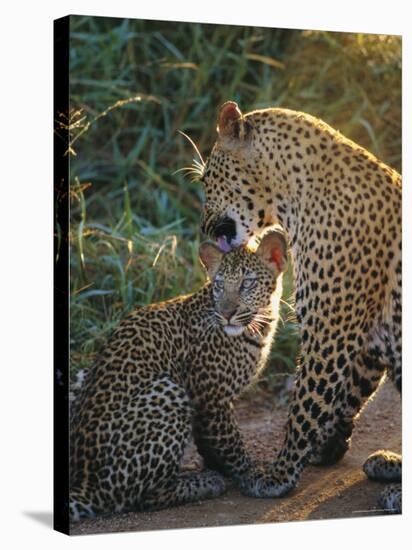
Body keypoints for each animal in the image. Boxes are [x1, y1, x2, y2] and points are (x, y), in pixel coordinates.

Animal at [198, 101, 400, 516]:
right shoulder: (363, 335)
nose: (204, 228)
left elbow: (304, 406)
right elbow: (347, 393)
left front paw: (279, 475)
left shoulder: (329, 330)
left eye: (207, 179)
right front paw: (328, 446)